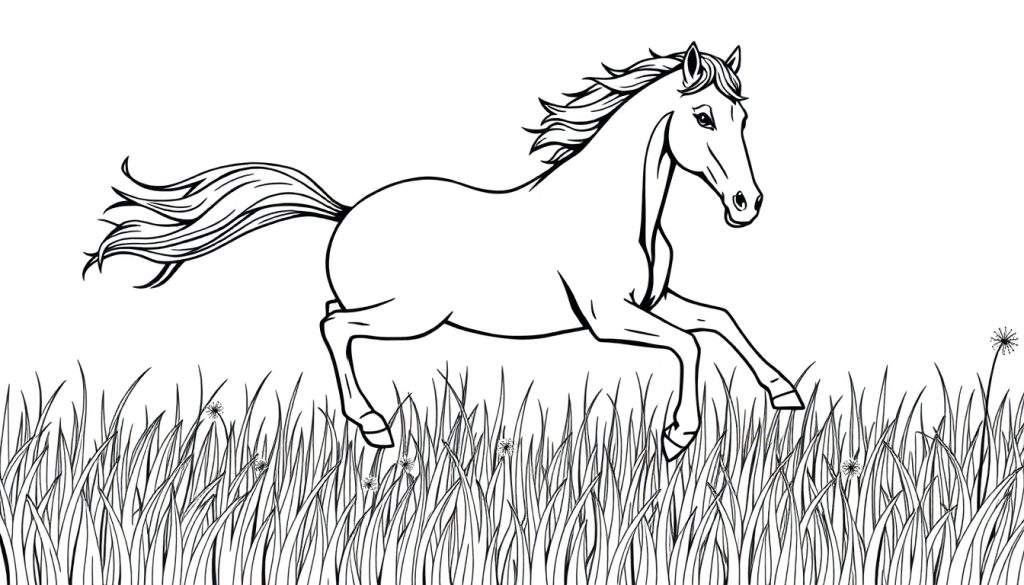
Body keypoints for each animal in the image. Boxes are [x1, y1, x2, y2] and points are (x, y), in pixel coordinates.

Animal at [85, 43, 804, 461]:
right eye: (704, 117)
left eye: (743, 118)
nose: (747, 204)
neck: (620, 211)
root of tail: (345, 212)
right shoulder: (607, 318)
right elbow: (690, 345)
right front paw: (679, 435)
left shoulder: (653, 300)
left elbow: (717, 321)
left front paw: (786, 393)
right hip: (411, 315)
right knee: (334, 326)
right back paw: (374, 426)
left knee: (331, 317)